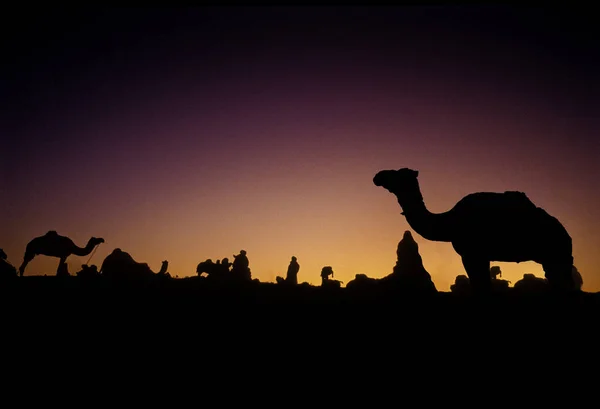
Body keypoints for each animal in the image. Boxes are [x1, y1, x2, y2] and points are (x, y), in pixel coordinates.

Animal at [372, 167, 576, 292]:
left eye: (399, 174)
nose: (378, 176)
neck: (449, 221)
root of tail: (566, 234)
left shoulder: (472, 254)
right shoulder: (480, 256)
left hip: (557, 254)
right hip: (550, 258)